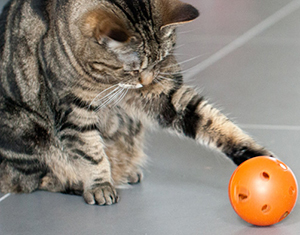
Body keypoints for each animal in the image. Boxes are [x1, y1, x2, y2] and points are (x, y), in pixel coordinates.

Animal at [0, 0, 272, 206]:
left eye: (160, 60)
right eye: (133, 69)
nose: (147, 81)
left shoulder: (166, 97)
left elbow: (213, 122)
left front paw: (260, 157)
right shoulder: (73, 111)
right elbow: (90, 152)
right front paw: (99, 184)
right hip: (26, 129)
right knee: (34, 179)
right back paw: (81, 182)